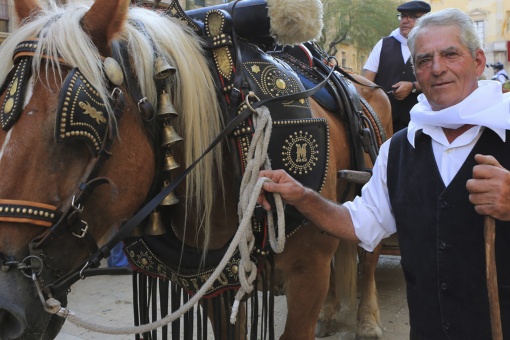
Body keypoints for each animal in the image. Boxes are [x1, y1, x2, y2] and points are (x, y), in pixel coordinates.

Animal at [0, 0, 390, 340]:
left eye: (79, 135)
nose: (6, 305)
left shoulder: (308, 275)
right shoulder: (215, 284)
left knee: (368, 254)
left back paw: (368, 320)